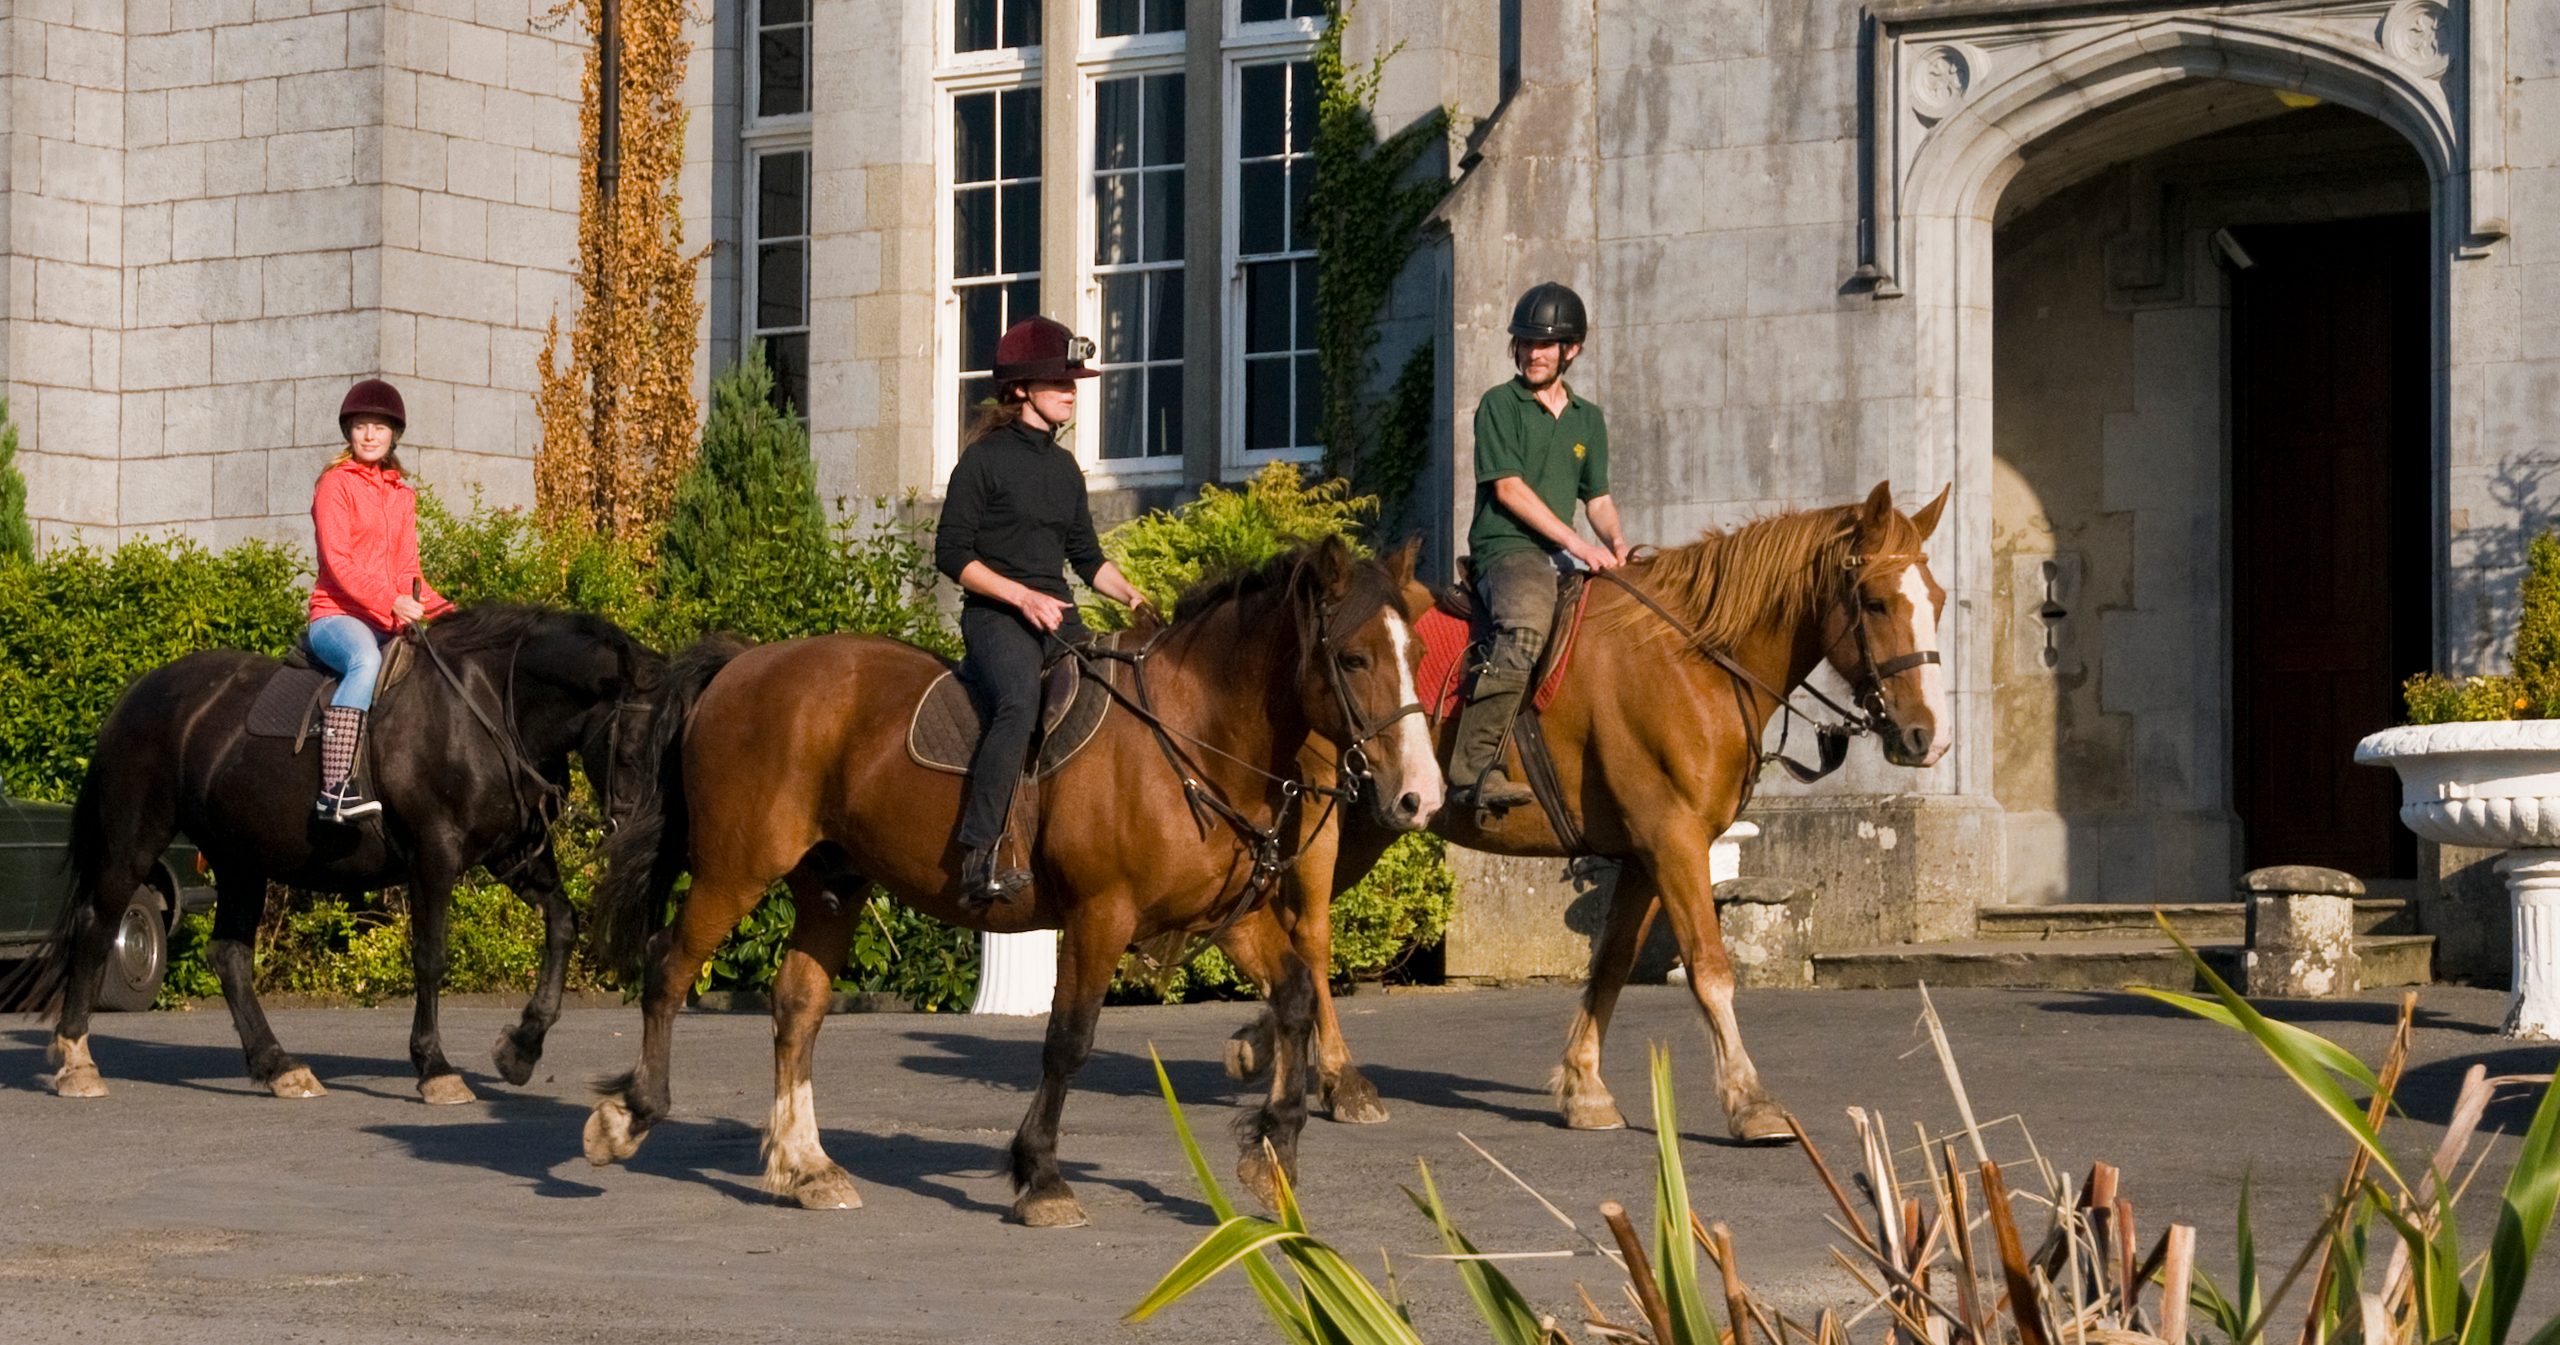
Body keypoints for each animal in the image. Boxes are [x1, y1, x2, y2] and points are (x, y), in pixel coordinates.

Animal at [31, 605, 664, 1105]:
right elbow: (430, 957)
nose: (642, 834)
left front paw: (522, 1048)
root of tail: (141, 691)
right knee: (98, 925)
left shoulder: (513, 856)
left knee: (228, 955)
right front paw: (435, 1067)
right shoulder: (433, 857)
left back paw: (278, 1066)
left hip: (241, 861)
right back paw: (77, 1060)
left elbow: (563, 924)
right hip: (135, 841)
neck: (486, 710)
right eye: (634, 744)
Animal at [579, 536, 1443, 1226]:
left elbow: (1295, 996)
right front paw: (1042, 1176)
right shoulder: (1101, 915)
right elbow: (1069, 1040)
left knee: (797, 1005)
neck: (1194, 733)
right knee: (668, 967)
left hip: (831, 884)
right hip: (737, 867)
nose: (1420, 796)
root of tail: (745, 661)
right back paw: (629, 1117)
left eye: (1418, 655)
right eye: (1355, 657)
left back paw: (806, 1165)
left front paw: (1275, 1151)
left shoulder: (1228, 916)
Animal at [1217, 482, 1952, 1141]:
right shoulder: (1675, 842)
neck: (1693, 661)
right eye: (1876, 601)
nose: (1926, 737)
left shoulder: (1644, 855)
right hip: (1327, 821)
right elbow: (1711, 970)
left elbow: (1613, 963)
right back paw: (1342, 1079)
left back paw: (1264, 1043)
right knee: (1312, 934)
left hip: (1371, 823)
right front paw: (1750, 1102)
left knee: (1283, 927)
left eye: (1938, 601)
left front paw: (1585, 1086)